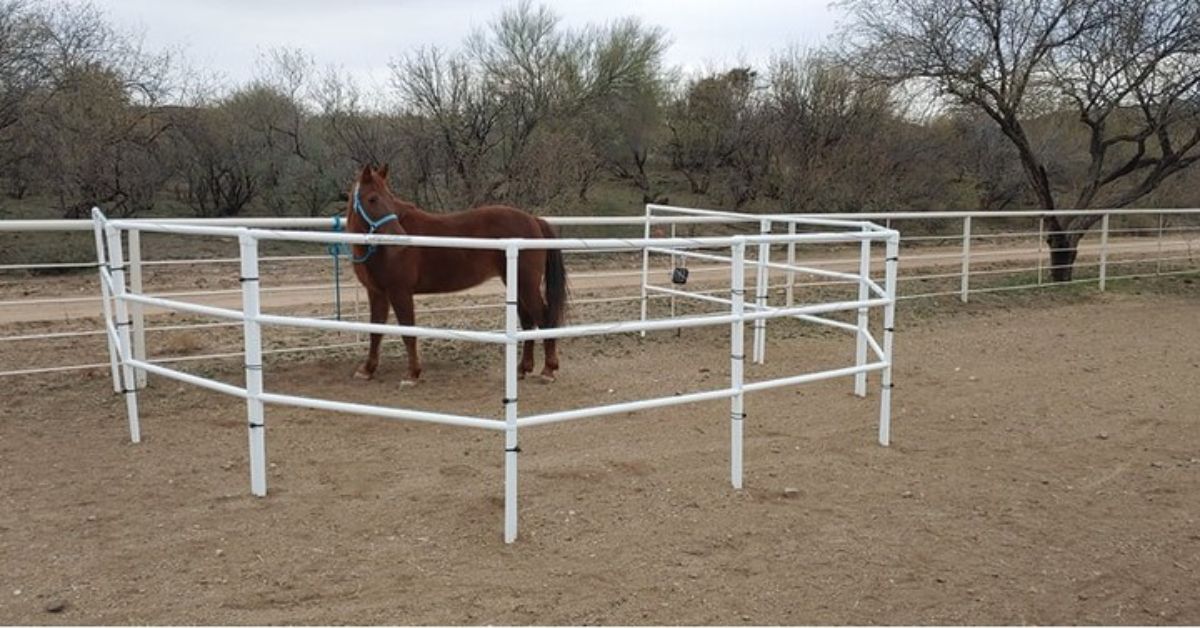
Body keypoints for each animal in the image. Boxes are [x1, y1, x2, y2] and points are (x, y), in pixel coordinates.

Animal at [343, 164, 566, 384]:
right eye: (372, 199)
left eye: (389, 198)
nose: (399, 237)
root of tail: (534, 220)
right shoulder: (377, 292)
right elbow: (375, 331)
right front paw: (367, 369)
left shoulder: (400, 292)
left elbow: (408, 331)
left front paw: (412, 374)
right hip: (515, 284)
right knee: (528, 322)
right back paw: (523, 369)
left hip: (526, 285)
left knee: (544, 320)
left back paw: (548, 369)